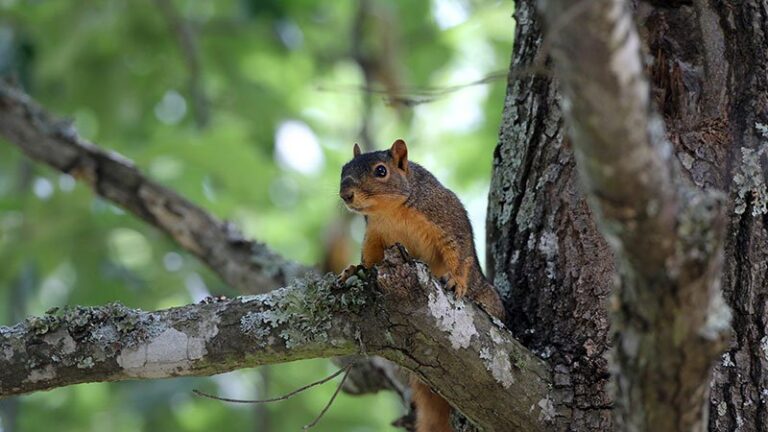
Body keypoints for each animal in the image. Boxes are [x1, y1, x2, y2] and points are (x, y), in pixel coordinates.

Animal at [339, 139, 505, 432]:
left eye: (381, 171)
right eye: (343, 169)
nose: (346, 194)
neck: (391, 213)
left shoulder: (447, 217)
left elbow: (459, 253)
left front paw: (456, 281)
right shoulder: (373, 237)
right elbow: (369, 263)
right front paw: (353, 270)